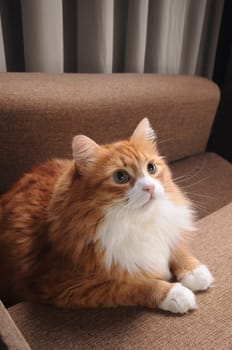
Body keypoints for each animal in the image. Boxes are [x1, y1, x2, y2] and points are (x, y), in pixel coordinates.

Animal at [0, 119, 214, 314]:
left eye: (151, 168)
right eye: (121, 177)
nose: (150, 188)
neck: (137, 222)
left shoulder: (168, 232)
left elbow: (176, 249)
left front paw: (194, 271)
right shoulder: (70, 286)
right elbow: (137, 286)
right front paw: (174, 294)